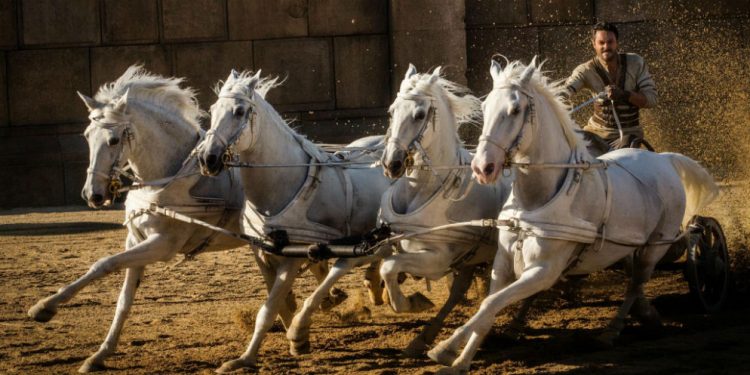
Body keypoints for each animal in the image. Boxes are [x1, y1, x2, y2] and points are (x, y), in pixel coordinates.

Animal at [27, 67, 326, 374]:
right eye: (87, 136)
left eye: (113, 140)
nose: (92, 194)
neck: (167, 177)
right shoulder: (135, 239)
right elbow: (123, 300)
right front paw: (99, 354)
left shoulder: (163, 244)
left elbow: (104, 264)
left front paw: (45, 307)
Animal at [198, 70, 394, 374]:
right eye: (212, 109)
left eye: (240, 111)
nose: (207, 158)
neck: (282, 184)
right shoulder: (262, 253)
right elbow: (277, 305)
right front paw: (252, 354)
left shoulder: (293, 255)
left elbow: (268, 310)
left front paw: (279, 345)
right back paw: (368, 287)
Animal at [426, 58, 720, 374]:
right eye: (485, 107)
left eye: (515, 110)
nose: (483, 167)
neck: (535, 201)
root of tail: (664, 159)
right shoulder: (502, 264)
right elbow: (489, 306)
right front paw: (459, 359)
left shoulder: (544, 271)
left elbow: (490, 304)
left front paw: (444, 346)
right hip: (629, 247)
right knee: (633, 281)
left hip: (655, 246)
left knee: (635, 285)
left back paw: (611, 332)